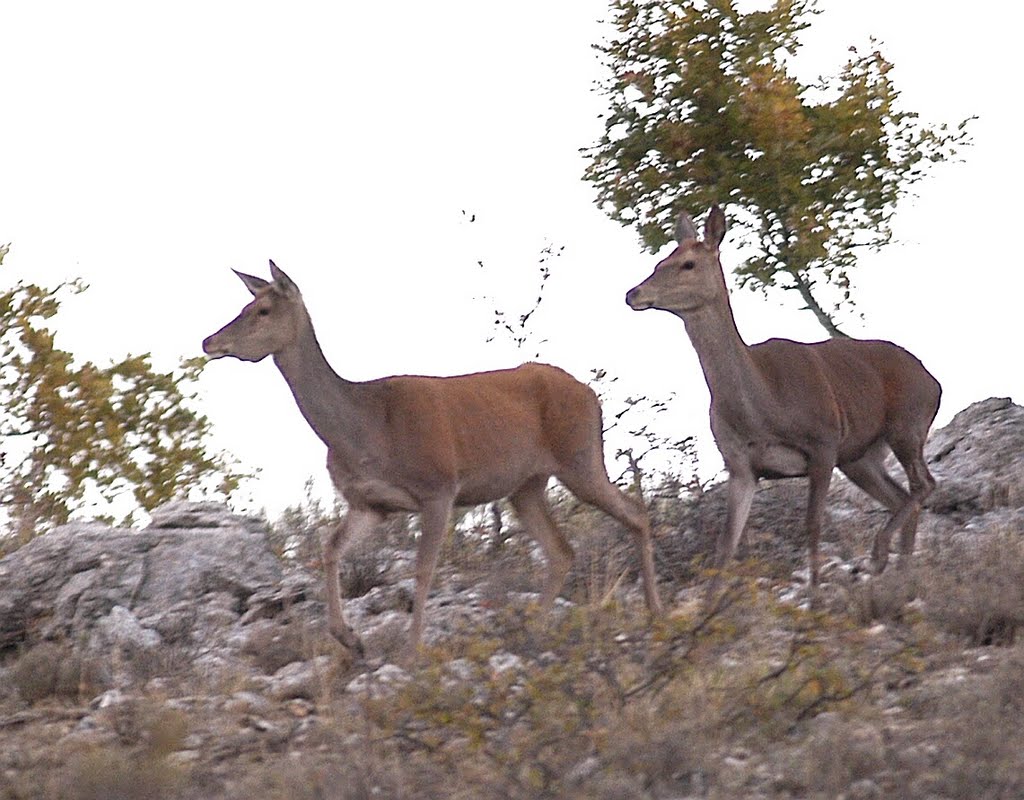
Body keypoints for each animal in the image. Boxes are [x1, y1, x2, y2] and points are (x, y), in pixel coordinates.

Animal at [201, 260, 663, 655]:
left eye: (262, 310)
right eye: (244, 306)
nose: (209, 340)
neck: (368, 430)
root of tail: (590, 393)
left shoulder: (439, 487)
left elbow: (423, 569)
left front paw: (413, 650)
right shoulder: (369, 503)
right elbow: (330, 549)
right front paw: (351, 639)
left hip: (580, 456)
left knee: (636, 513)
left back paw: (654, 611)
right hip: (526, 485)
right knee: (562, 550)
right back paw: (535, 628)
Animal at [618, 204, 937, 594]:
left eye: (687, 264)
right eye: (660, 260)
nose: (633, 293)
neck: (763, 407)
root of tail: (934, 381)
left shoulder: (823, 442)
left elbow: (812, 526)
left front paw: (815, 597)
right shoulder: (740, 464)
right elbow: (725, 545)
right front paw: (708, 606)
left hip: (907, 423)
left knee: (924, 485)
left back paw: (879, 558)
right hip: (859, 456)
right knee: (902, 495)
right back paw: (901, 572)